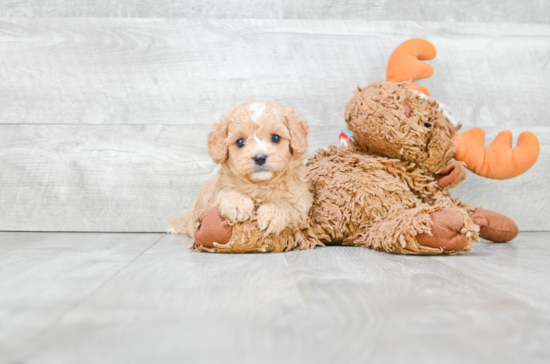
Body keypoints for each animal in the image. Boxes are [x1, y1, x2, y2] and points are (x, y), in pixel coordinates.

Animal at [168, 101, 312, 239]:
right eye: (240, 141)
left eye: (275, 138)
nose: (260, 158)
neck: (261, 185)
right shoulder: (218, 190)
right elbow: (228, 191)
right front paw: (237, 204)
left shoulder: (301, 200)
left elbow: (287, 204)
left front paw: (272, 215)